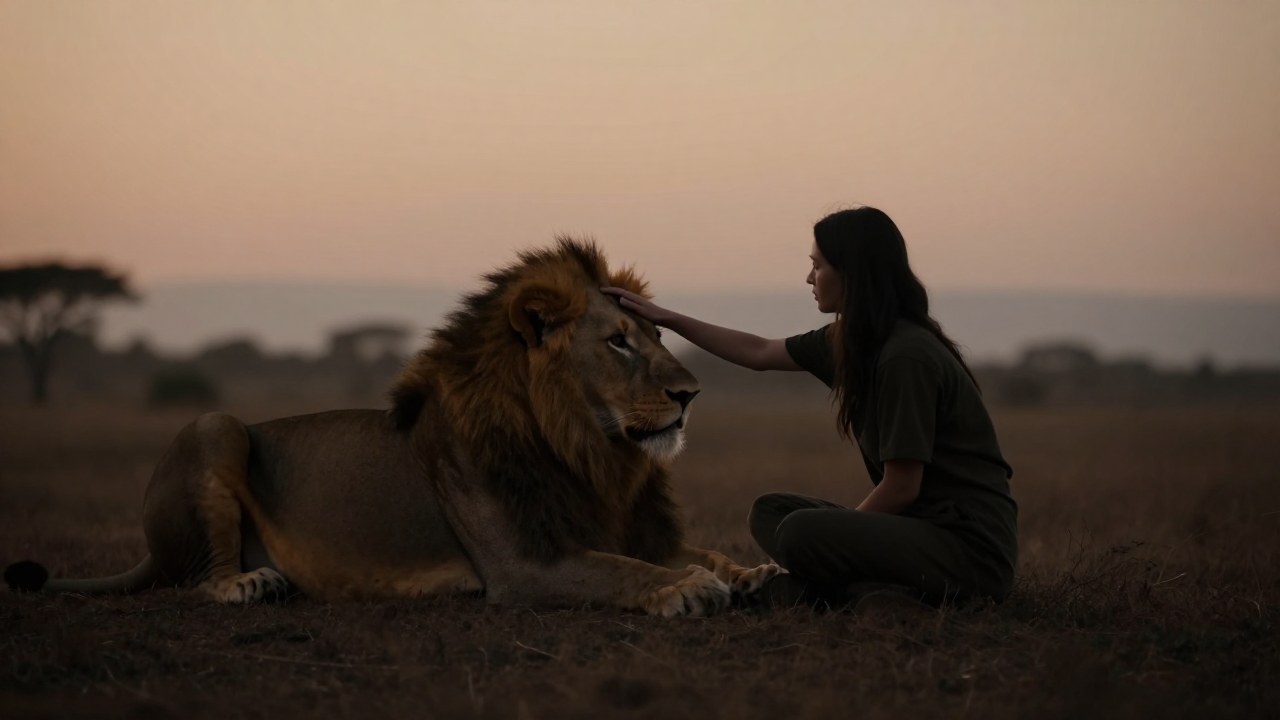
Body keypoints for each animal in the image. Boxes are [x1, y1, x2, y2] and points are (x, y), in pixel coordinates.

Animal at [5, 238, 778, 616]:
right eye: (617, 342)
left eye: (657, 334)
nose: (690, 393)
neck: (589, 449)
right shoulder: (525, 563)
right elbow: (622, 571)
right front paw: (684, 589)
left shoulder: (621, 523)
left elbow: (698, 550)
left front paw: (753, 572)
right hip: (215, 425)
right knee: (192, 580)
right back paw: (249, 584)